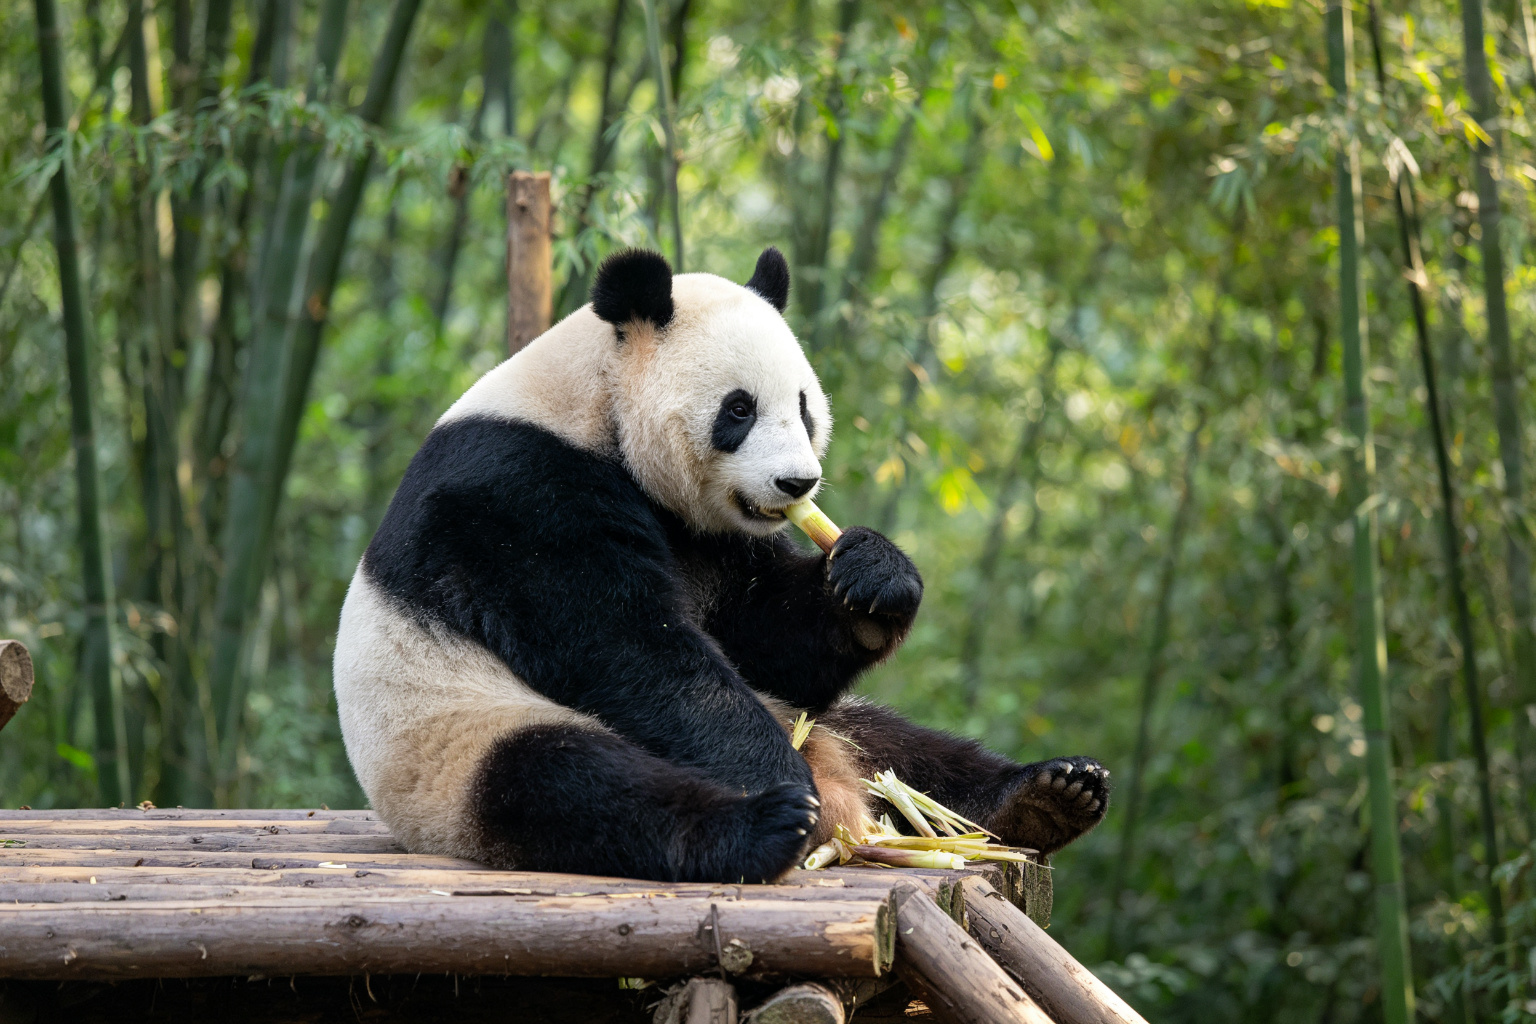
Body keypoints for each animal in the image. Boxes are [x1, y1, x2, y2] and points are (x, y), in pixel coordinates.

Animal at [334, 246, 1109, 883]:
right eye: (739, 409)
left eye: (803, 405)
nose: (798, 484)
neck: (593, 402)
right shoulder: (518, 493)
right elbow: (625, 646)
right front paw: (779, 780)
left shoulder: (712, 541)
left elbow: (762, 633)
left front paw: (873, 578)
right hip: (453, 744)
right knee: (568, 785)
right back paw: (768, 826)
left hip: (827, 722)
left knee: (901, 748)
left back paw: (1047, 795)